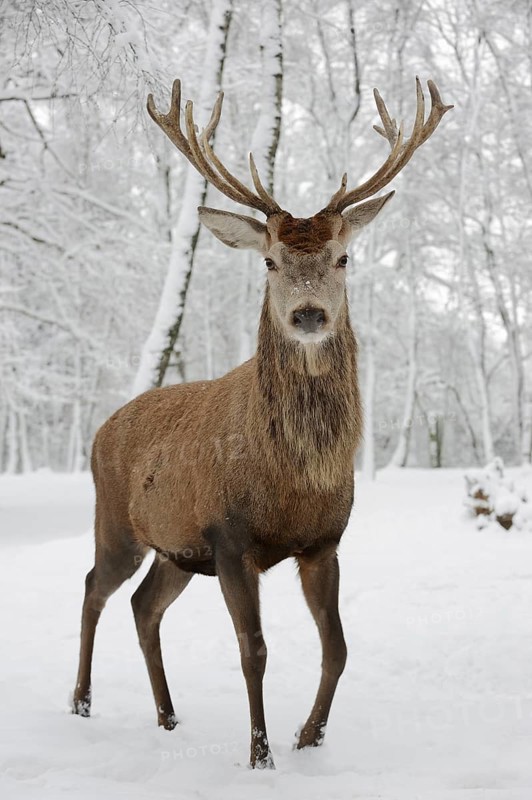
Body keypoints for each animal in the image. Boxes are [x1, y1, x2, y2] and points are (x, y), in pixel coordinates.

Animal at [72, 76, 452, 769]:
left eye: (343, 257)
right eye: (271, 261)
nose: (308, 314)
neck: (293, 480)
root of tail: (103, 427)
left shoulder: (324, 542)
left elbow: (338, 647)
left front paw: (309, 737)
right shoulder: (230, 537)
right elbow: (254, 650)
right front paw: (260, 755)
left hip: (176, 549)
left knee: (142, 606)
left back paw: (168, 717)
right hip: (117, 523)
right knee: (94, 588)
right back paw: (82, 702)